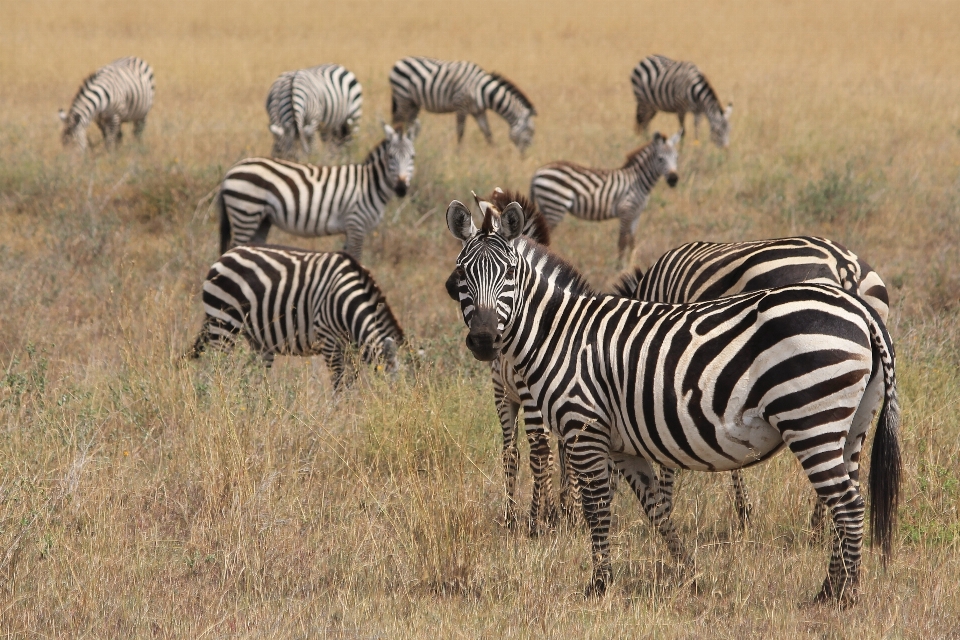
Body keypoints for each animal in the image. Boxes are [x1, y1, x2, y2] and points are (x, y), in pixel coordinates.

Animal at [188, 244, 402, 390]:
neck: (346, 304)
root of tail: (225, 255)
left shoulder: (350, 349)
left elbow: (349, 383)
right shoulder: (329, 340)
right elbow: (339, 383)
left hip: (258, 339)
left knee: (252, 376)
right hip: (223, 322)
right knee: (217, 368)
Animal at [219, 121, 418, 262]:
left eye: (412, 157)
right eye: (390, 157)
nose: (401, 188)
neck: (371, 184)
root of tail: (230, 172)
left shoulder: (350, 229)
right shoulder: (356, 225)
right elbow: (357, 258)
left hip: (261, 219)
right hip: (246, 212)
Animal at [390, 56, 540, 152]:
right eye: (531, 131)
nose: (526, 156)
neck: (482, 90)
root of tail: (398, 62)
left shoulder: (478, 111)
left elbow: (488, 133)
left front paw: (496, 153)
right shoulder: (461, 106)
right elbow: (461, 131)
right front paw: (458, 153)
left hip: (414, 103)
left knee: (409, 123)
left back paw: (411, 143)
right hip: (403, 98)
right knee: (398, 121)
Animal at [448, 202, 900, 604]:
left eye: (508, 273)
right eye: (462, 275)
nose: (484, 340)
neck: (560, 334)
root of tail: (859, 306)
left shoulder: (584, 427)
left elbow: (598, 507)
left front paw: (599, 586)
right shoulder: (621, 444)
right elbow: (657, 510)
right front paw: (690, 574)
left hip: (812, 417)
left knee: (848, 505)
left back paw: (843, 596)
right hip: (852, 421)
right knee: (848, 499)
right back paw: (831, 588)